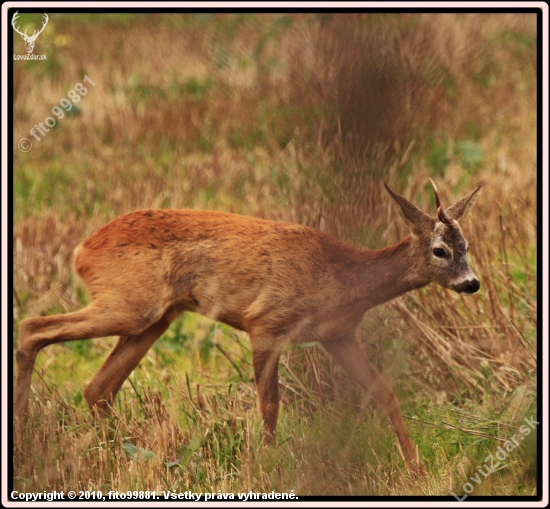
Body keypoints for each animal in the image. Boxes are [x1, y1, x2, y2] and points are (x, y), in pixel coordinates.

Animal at [14, 179, 484, 472]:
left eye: (467, 245)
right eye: (440, 250)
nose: (472, 283)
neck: (341, 276)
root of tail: (81, 250)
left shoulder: (338, 335)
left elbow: (384, 392)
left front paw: (415, 467)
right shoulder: (267, 324)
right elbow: (270, 406)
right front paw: (270, 466)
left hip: (155, 318)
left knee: (98, 387)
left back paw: (119, 454)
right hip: (130, 304)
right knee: (33, 326)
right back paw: (23, 432)